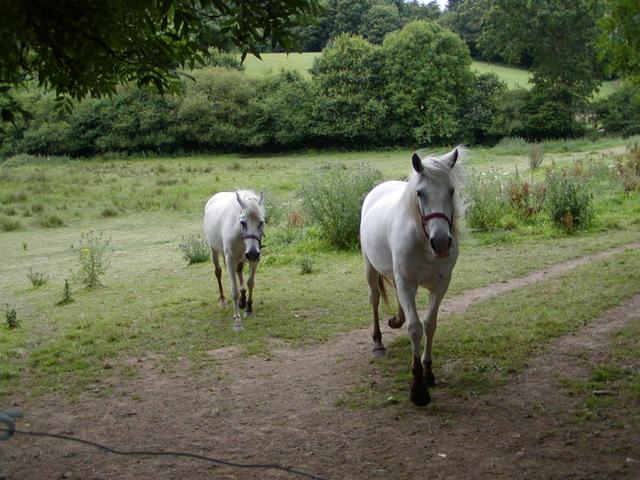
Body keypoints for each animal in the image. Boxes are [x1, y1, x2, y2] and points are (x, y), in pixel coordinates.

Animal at [205, 189, 264, 332]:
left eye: (261, 222)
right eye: (243, 222)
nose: (252, 253)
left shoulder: (254, 260)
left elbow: (250, 283)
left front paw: (248, 308)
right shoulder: (230, 259)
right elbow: (234, 291)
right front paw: (237, 320)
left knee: (239, 272)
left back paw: (242, 300)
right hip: (213, 250)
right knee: (218, 272)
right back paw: (222, 300)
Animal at [360, 147, 464, 404]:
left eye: (451, 190)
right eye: (420, 193)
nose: (441, 243)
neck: (424, 242)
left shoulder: (441, 285)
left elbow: (429, 324)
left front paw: (428, 373)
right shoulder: (407, 282)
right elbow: (415, 328)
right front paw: (418, 388)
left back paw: (396, 319)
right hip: (370, 268)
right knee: (374, 298)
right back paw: (378, 343)